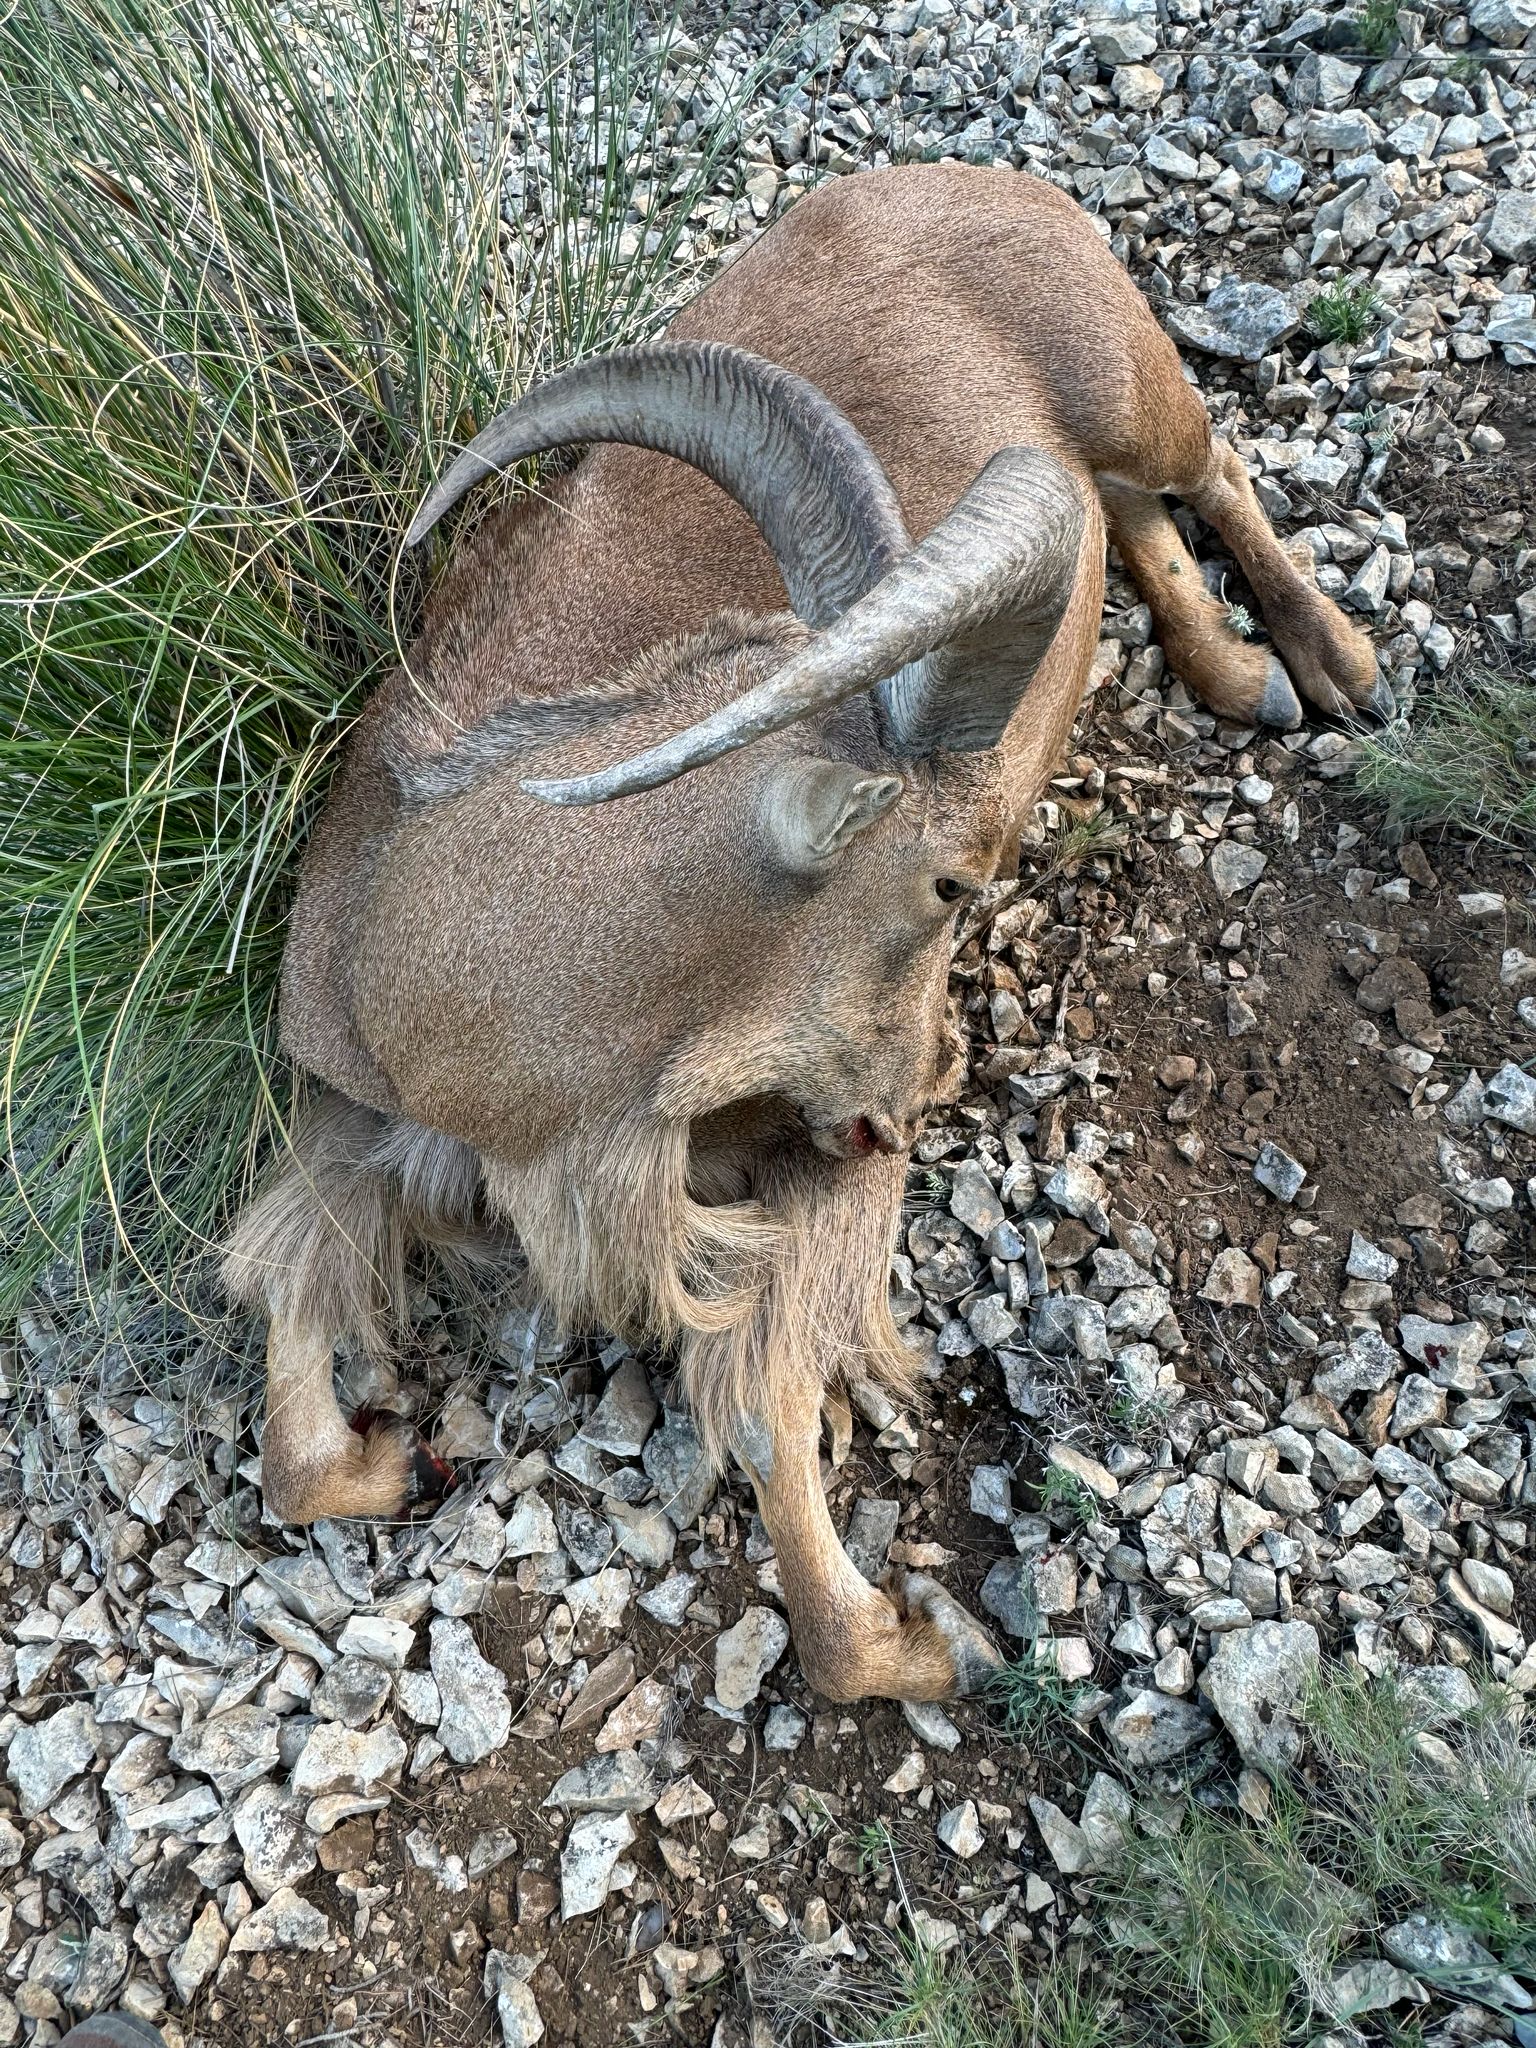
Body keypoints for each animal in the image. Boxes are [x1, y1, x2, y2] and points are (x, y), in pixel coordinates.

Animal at [224, 163, 1381, 1702]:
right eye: (952, 883)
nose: (920, 1099)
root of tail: (983, 178)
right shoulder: (354, 1113)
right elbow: (288, 1363)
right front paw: (389, 1456)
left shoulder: (800, 1157)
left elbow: (770, 1399)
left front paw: (916, 1641)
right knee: (1123, 517)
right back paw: (1236, 667)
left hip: (1129, 376)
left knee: (1206, 472)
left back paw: (1330, 661)